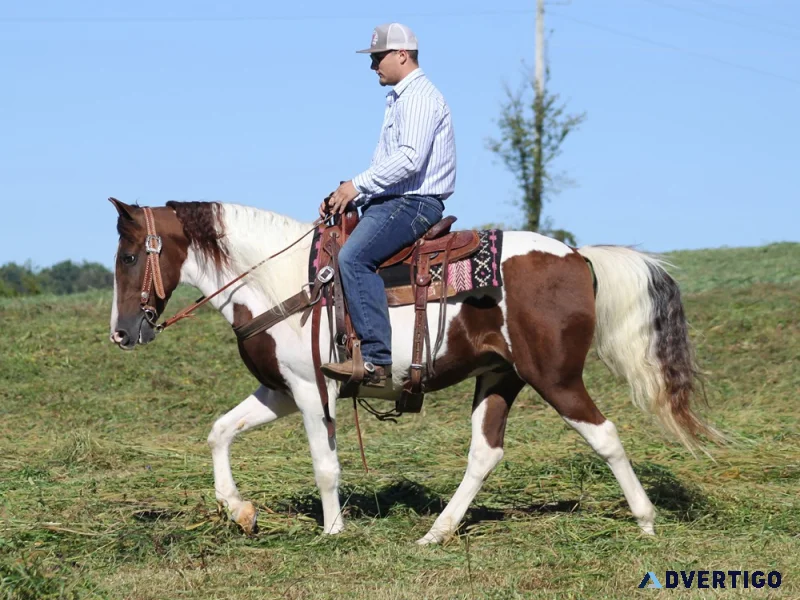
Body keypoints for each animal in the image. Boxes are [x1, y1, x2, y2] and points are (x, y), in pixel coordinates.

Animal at [107, 197, 718, 545]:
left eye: (131, 255)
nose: (121, 333)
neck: (284, 283)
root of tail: (577, 256)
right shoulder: (280, 389)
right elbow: (219, 432)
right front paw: (240, 513)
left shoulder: (311, 390)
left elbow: (325, 467)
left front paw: (333, 532)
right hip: (500, 377)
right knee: (485, 453)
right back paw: (437, 532)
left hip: (556, 378)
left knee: (605, 435)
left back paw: (645, 520)